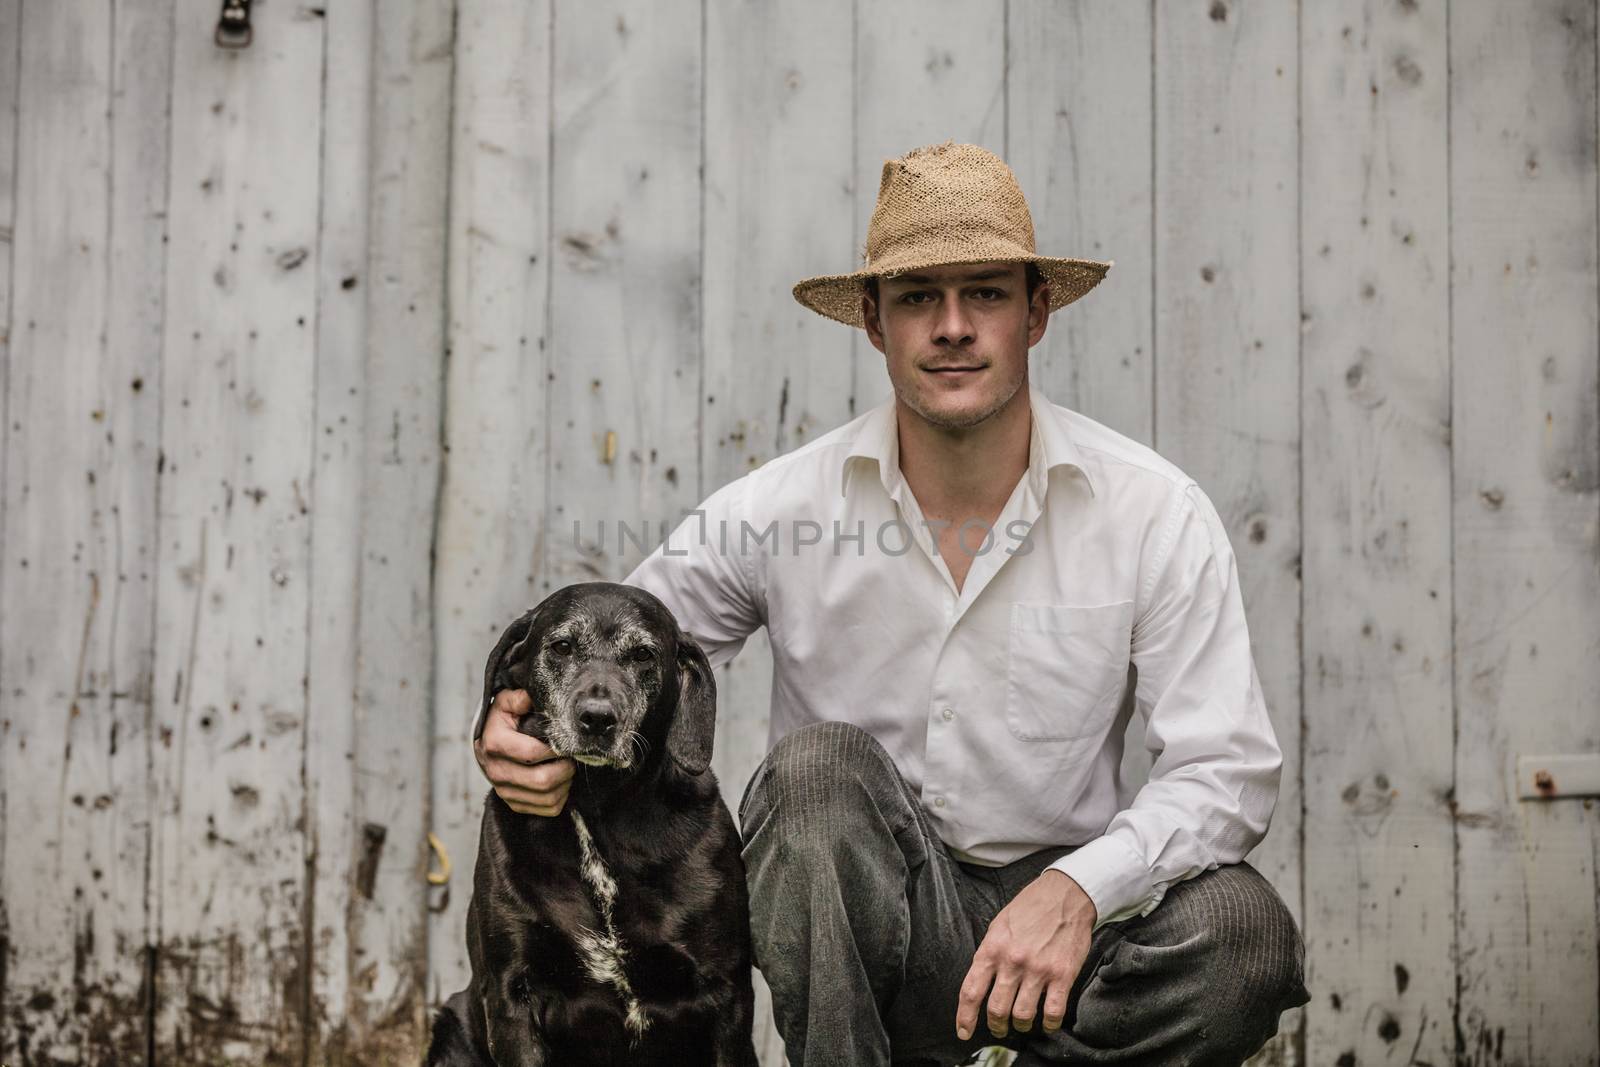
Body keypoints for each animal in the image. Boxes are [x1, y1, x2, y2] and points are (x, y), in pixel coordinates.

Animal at [419, 585, 755, 1067]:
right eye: (562, 647)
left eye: (642, 655)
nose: (597, 718)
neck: (596, 804)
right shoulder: (511, 995)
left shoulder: (727, 997)